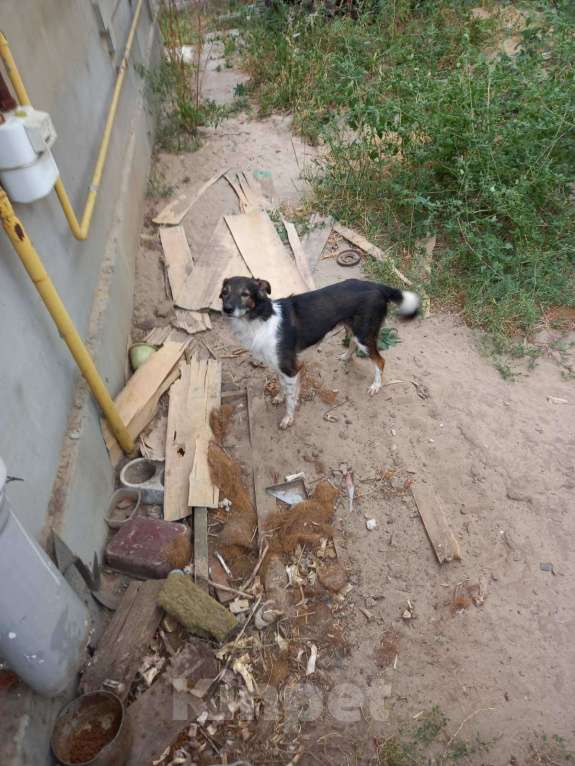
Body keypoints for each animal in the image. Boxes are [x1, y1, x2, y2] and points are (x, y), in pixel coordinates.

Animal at [220, 278, 418, 432]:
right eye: (224, 292)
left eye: (245, 294)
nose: (226, 309)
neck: (261, 320)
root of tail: (377, 286)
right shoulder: (280, 366)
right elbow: (284, 388)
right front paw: (279, 397)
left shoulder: (291, 369)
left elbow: (291, 399)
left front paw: (288, 419)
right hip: (352, 328)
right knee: (352, 342)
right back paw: (346, 357)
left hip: (364, 335)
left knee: (380, 361)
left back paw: (376, 385)